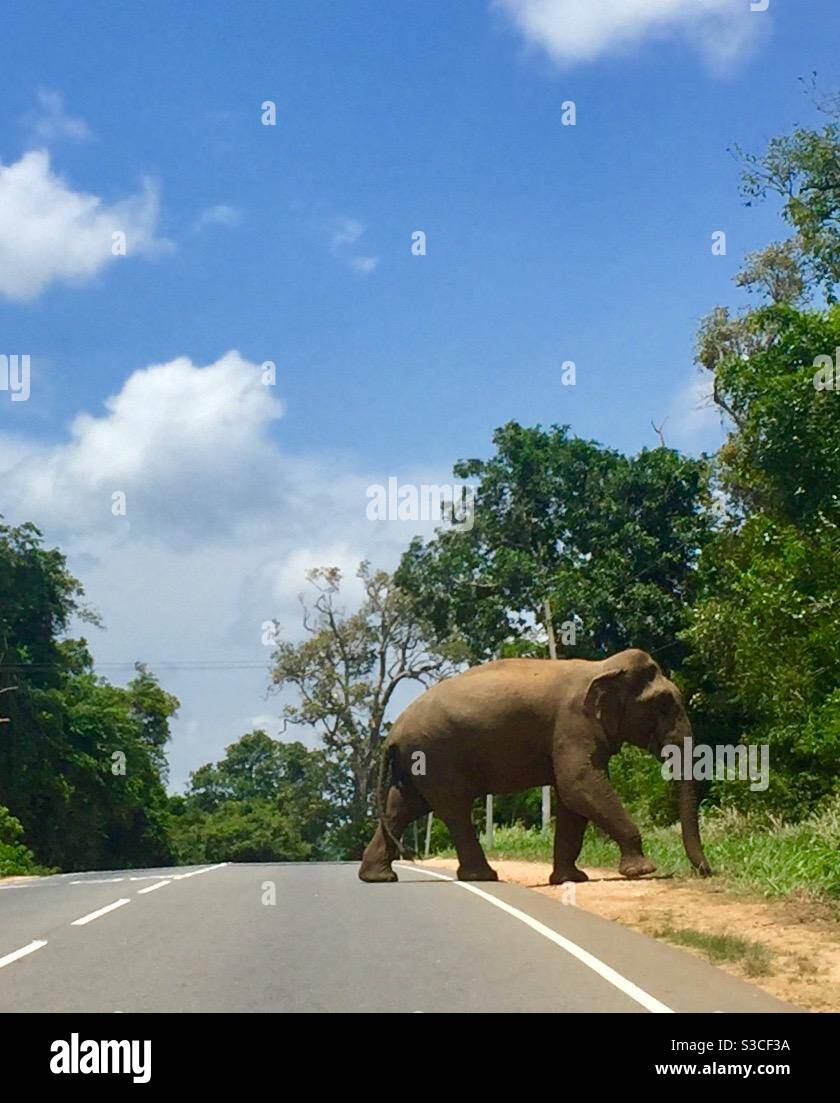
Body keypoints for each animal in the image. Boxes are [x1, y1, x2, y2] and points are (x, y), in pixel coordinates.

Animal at [359, 648, 712, 884]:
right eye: (663, 704)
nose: (705, 871)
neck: (602, 667)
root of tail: (393, 734)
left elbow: (573, 799)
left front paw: (571, 879)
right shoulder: (573, 723)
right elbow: (579, 784)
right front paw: (642, 871)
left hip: (417, 764)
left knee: (401, 808)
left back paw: (379, 877)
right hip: (436, 755)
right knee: (454, 809)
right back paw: (483, 876)